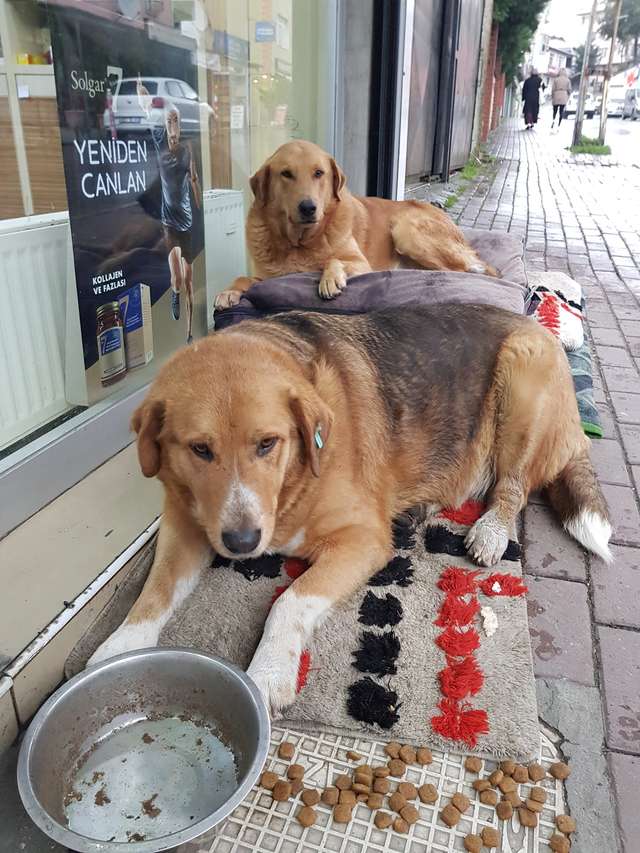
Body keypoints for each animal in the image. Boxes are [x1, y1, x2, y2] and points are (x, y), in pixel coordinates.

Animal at [87, 304, 612, 712]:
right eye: (200, 450)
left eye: (267, 444)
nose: (241, 543)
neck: (291, 487)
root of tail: (534, 325)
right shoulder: (185, 525)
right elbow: (154, 592)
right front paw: (119, 649)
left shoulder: (361, 540)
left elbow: (289, 600)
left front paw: (269, 670)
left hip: (524, 382)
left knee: (512, 487)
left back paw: (490, 530)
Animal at [215, 141, 496, 310]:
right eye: (286, 174)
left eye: (319, 173)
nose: (308, 208)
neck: (300, 242)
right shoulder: (267, 277)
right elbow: (244, 277)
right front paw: (229, 291)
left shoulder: (361, 264)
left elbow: (334, 259)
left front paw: (330, 279)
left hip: (406, 231)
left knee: (461, 272)